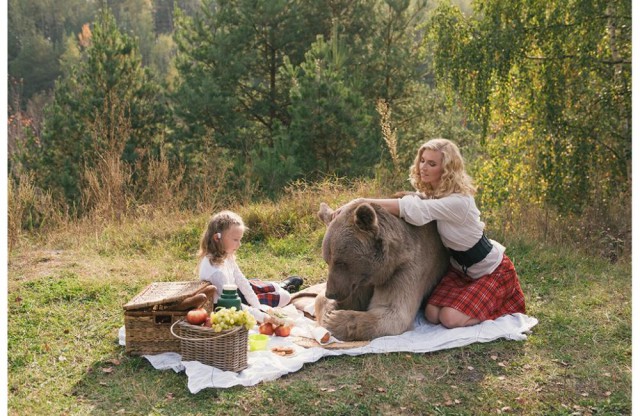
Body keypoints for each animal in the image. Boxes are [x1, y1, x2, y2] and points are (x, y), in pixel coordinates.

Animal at [314, 202, 448, 342]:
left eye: (340, 262)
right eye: (327, 261)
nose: (331, 293)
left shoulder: (405, 269)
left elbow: (392, 311)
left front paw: (335, 320)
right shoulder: (358, 281)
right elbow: (327, 298)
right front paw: (329, 311)